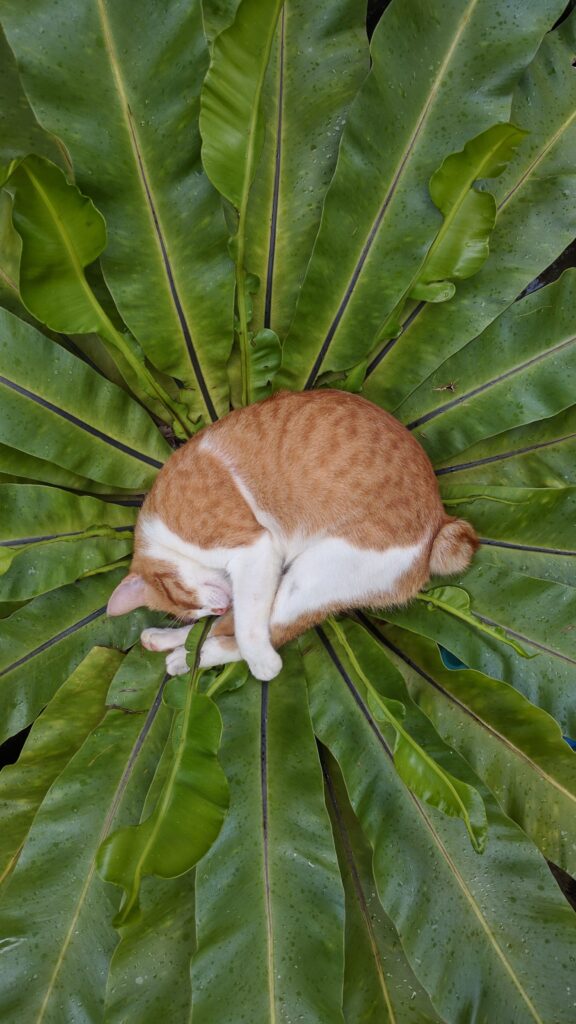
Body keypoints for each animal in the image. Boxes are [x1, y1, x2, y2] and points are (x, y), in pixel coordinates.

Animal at [106, 389, 475, 679]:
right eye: (196, 610)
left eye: (189, 600)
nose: (218, 608)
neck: (163, 533)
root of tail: (439, 520)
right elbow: (235, 621)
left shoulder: (254, 549)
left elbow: (248, 628)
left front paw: (263, 663)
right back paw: (168, 644)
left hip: (312, 575)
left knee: (269, 632)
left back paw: (195, 657)